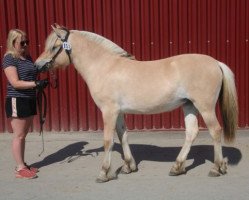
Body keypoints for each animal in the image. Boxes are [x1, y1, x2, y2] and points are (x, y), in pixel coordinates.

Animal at [34, 23, 237, 183]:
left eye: (54, 47)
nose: (37, 65)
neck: (104, 67)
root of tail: (216, 63)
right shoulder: (119, 112)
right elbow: (123, 135)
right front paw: (128, 167)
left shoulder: (109, 111)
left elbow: (108, 140)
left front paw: (104, 173)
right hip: (189, 105)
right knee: (191, 132)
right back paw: (177, 167)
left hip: (205, 107)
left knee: (215, 131)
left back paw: (216, 168)